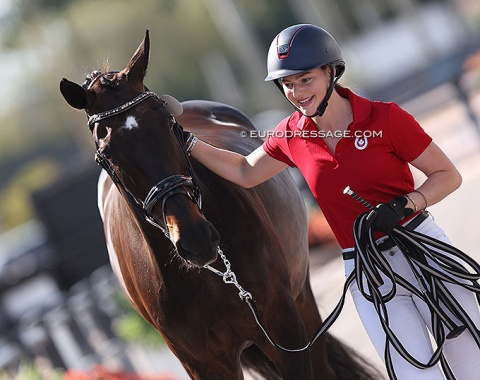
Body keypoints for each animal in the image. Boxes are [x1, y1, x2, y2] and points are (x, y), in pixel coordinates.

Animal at [60, 30, 382, 380]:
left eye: (168, 122)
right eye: (108, 154)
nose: (196, 239)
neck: (208, 278)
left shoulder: (284, 331)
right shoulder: (204, 363)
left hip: (303, 301)